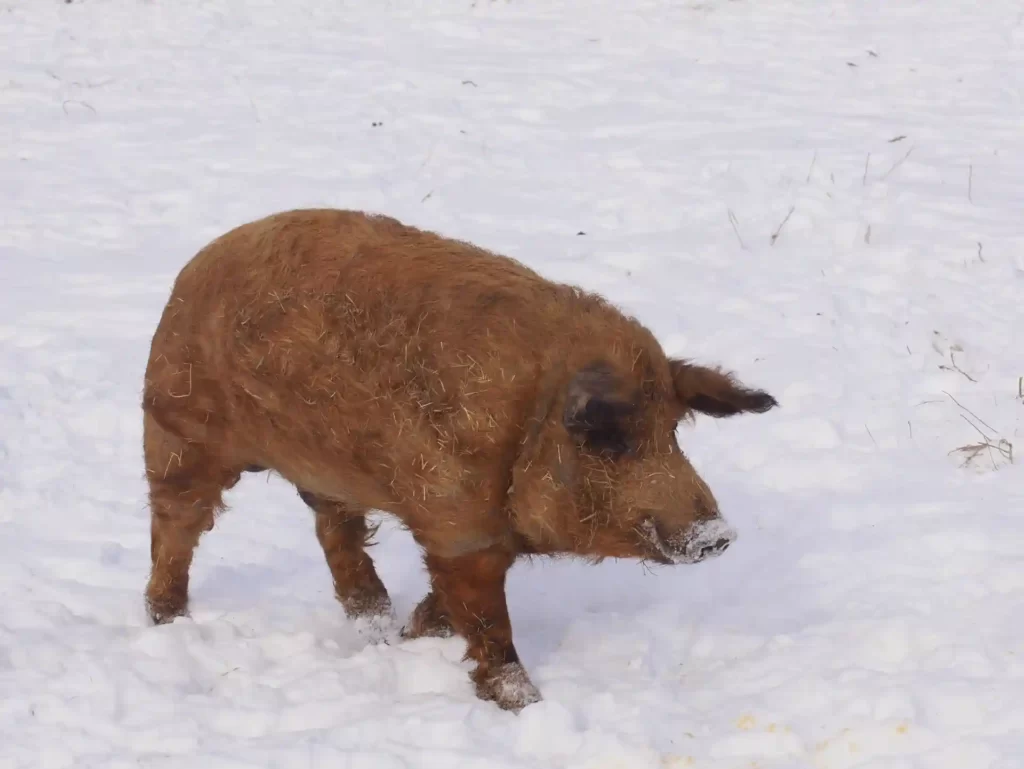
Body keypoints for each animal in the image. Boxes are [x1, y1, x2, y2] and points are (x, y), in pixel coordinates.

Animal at [142, 208, 777, 711]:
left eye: (672, 432)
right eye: (612, 441)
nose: (717, 532)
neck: (529, 421)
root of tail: (197, 264)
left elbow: (450, 605)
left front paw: (413, 636)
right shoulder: (456, 521)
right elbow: (488, 622)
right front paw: (525, 704)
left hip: (325, 471)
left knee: (333, 530)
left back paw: (376, 623)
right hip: (178, 430)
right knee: (175, 526)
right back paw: (165, 619)